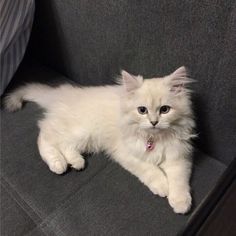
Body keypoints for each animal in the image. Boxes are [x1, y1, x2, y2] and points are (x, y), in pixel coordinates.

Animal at [4, 66, 195, 214]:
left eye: (164, 109)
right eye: (142, 110)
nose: (154, 122)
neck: (154, 138)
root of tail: (62, 93)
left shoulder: (178, 155)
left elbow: (179, 179)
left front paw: (180, 203)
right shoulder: (126, 152)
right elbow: (150, 169)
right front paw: (162, 186)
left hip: (84, 138)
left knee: (64, 145)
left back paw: (76, 162)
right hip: (80, 131)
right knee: (45, 136)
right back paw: (58, 164)